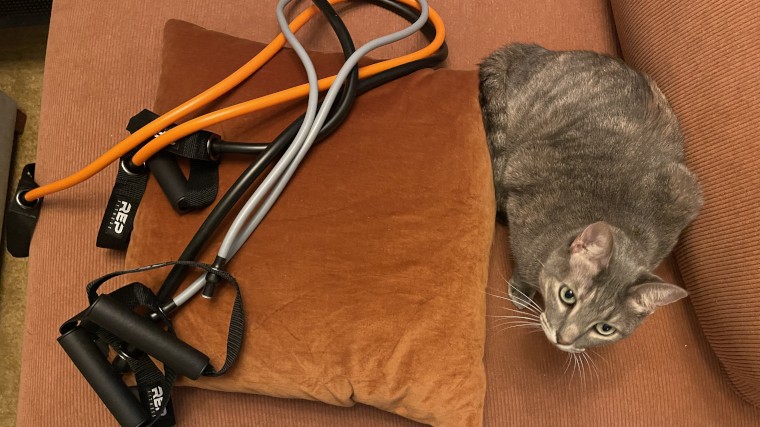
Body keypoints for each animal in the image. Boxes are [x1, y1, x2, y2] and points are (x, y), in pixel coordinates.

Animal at [478, 43, 704, 352]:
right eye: (568, 295)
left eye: (605, 329)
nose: (563, 340)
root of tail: (537, 50)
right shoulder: (525, 170)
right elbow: (523, 262)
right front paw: (522, 287)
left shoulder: (683, 196)